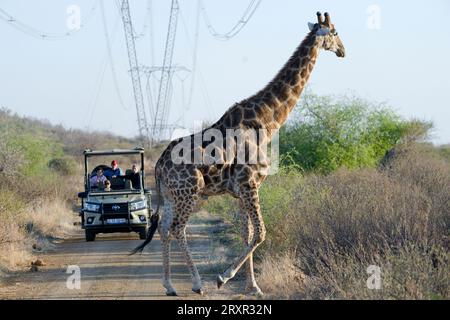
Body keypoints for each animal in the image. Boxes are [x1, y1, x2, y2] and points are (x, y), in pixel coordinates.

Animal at [132, 11, 346, 296]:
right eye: (334, 32)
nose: (343, 51)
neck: (266, 121)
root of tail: (158, 166)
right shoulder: (250, 184)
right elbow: (261, 233)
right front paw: (223, 277)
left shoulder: (240, 190)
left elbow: (247, 234)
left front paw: (253, 286)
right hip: (190, 192)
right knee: (178, 228)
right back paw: (197, 283)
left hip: (170, 195)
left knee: (164, 229)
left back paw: (169, 285)